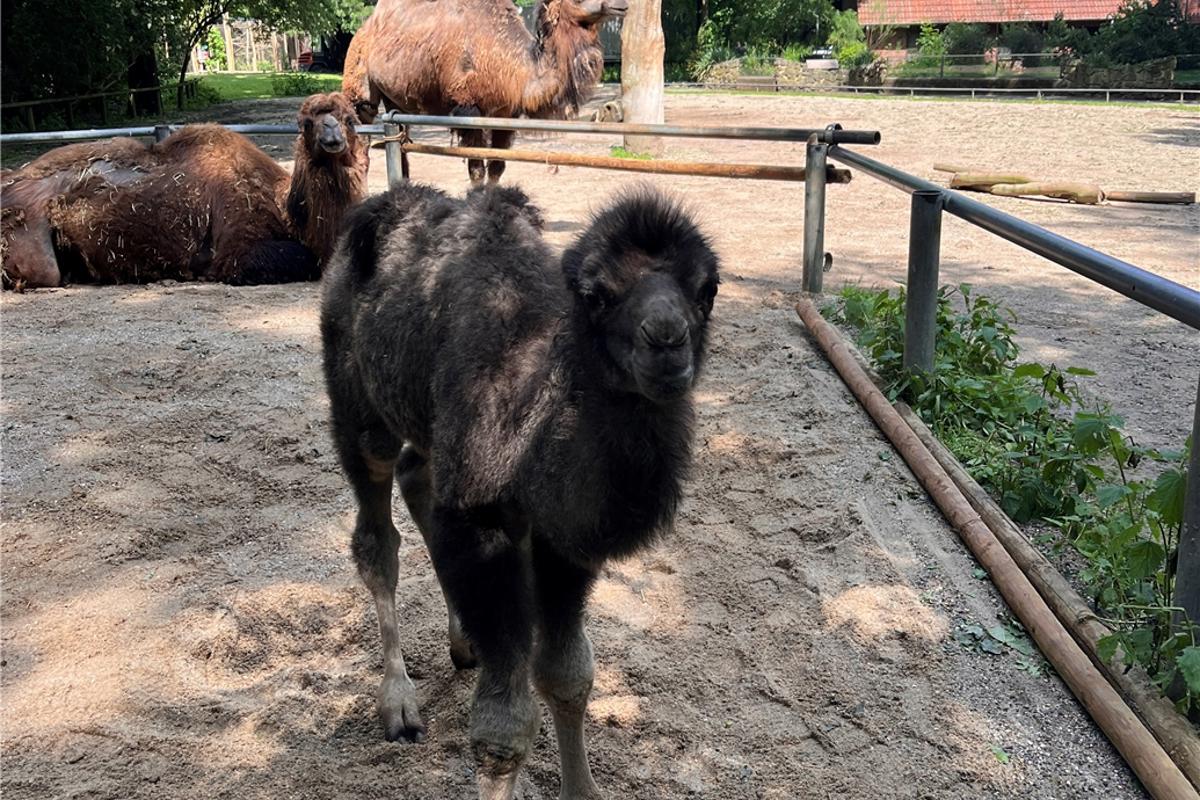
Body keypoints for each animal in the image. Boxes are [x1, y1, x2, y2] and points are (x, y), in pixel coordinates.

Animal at [0, 92, 367, 290]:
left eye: (349, 119)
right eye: (307, 123)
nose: (332, 139)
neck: (282, 207)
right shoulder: (235, 252)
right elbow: (304, 258)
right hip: (33, 246)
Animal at [321, 182, 719, 800]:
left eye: (707, 289)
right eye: (596, 295)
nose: (667, 341)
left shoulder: (565, 540)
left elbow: (567, 674)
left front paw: (583, 790)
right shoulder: (485, 523)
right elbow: (503, 726)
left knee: (418, 476)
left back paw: (463, 644)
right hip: (359, 409)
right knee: (377, 538)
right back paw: (399, 704)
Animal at [343, 0, 627, 182]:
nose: (622, 4)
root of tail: (364, 27)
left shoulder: (506, 113)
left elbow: (497, 167)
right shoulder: (468, 107)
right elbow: (477, 169)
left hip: (396, 100)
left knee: (399, 143)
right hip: (360, 86)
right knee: (362, 138)